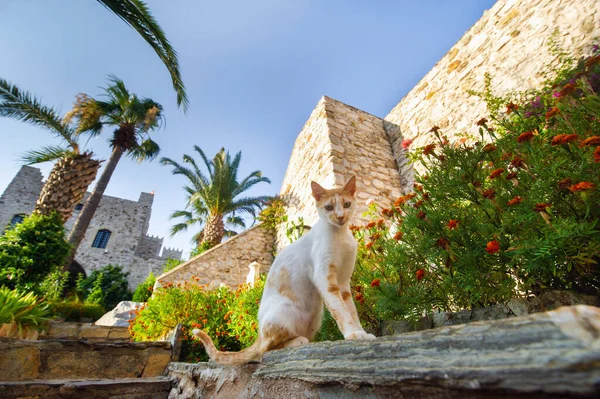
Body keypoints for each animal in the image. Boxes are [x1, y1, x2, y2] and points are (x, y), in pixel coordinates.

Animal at [193, 177, 376, 366]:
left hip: (316, 316)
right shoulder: (325, 278)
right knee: (265, 350)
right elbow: (342, 311)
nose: (340, 216)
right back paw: (297, 341)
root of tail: (259, 334)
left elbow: (351, 310)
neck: (340, 236)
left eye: (346, 204)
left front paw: (361, 333)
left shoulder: (344, 282)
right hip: (284, 311)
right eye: (329, 207)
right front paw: (352, 334)